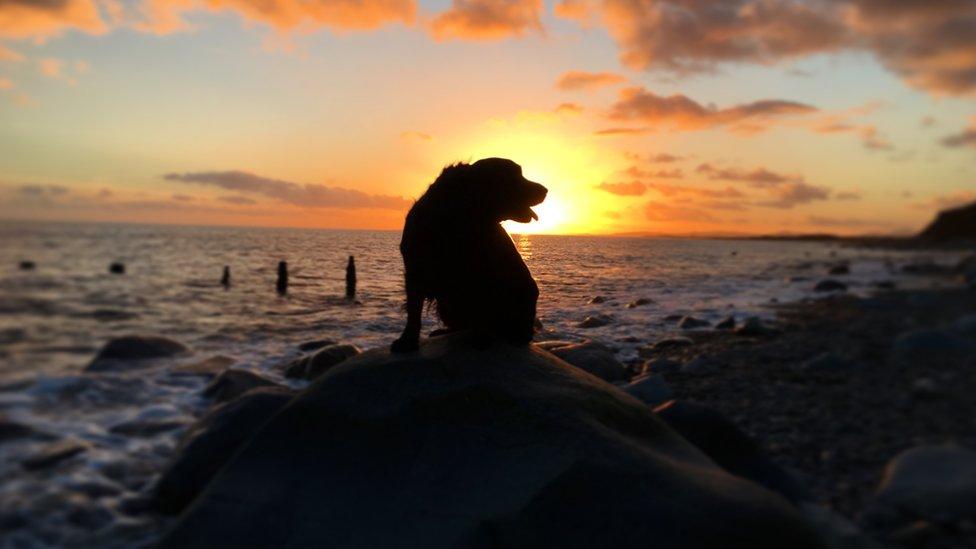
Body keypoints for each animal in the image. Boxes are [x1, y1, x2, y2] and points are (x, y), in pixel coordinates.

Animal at [394, 156, 548, 354]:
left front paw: (480, 337)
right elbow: (413, 311)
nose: (545, 190)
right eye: (515, 175)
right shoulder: (415, 268)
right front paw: (407, 340)